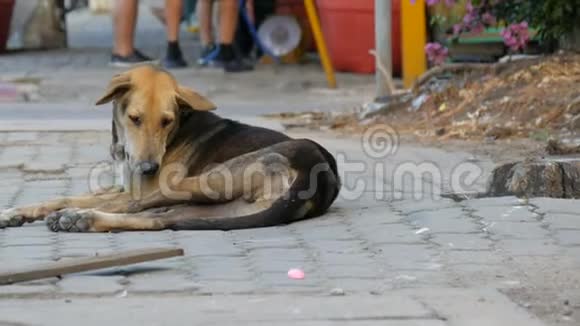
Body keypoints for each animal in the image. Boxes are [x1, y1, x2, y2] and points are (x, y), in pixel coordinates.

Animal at [0, 64, 340, 232]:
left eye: (167, 121)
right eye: (135, 118)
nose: (149, 168)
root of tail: (320, 176)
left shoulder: (137, 188)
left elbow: (99, 199)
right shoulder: (125, 184)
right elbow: (62, 196)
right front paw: (16, 212)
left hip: (199, 181)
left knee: (137, 208)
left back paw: (79, 217)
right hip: (218, 207)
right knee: (162, 220)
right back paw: (84, 221)